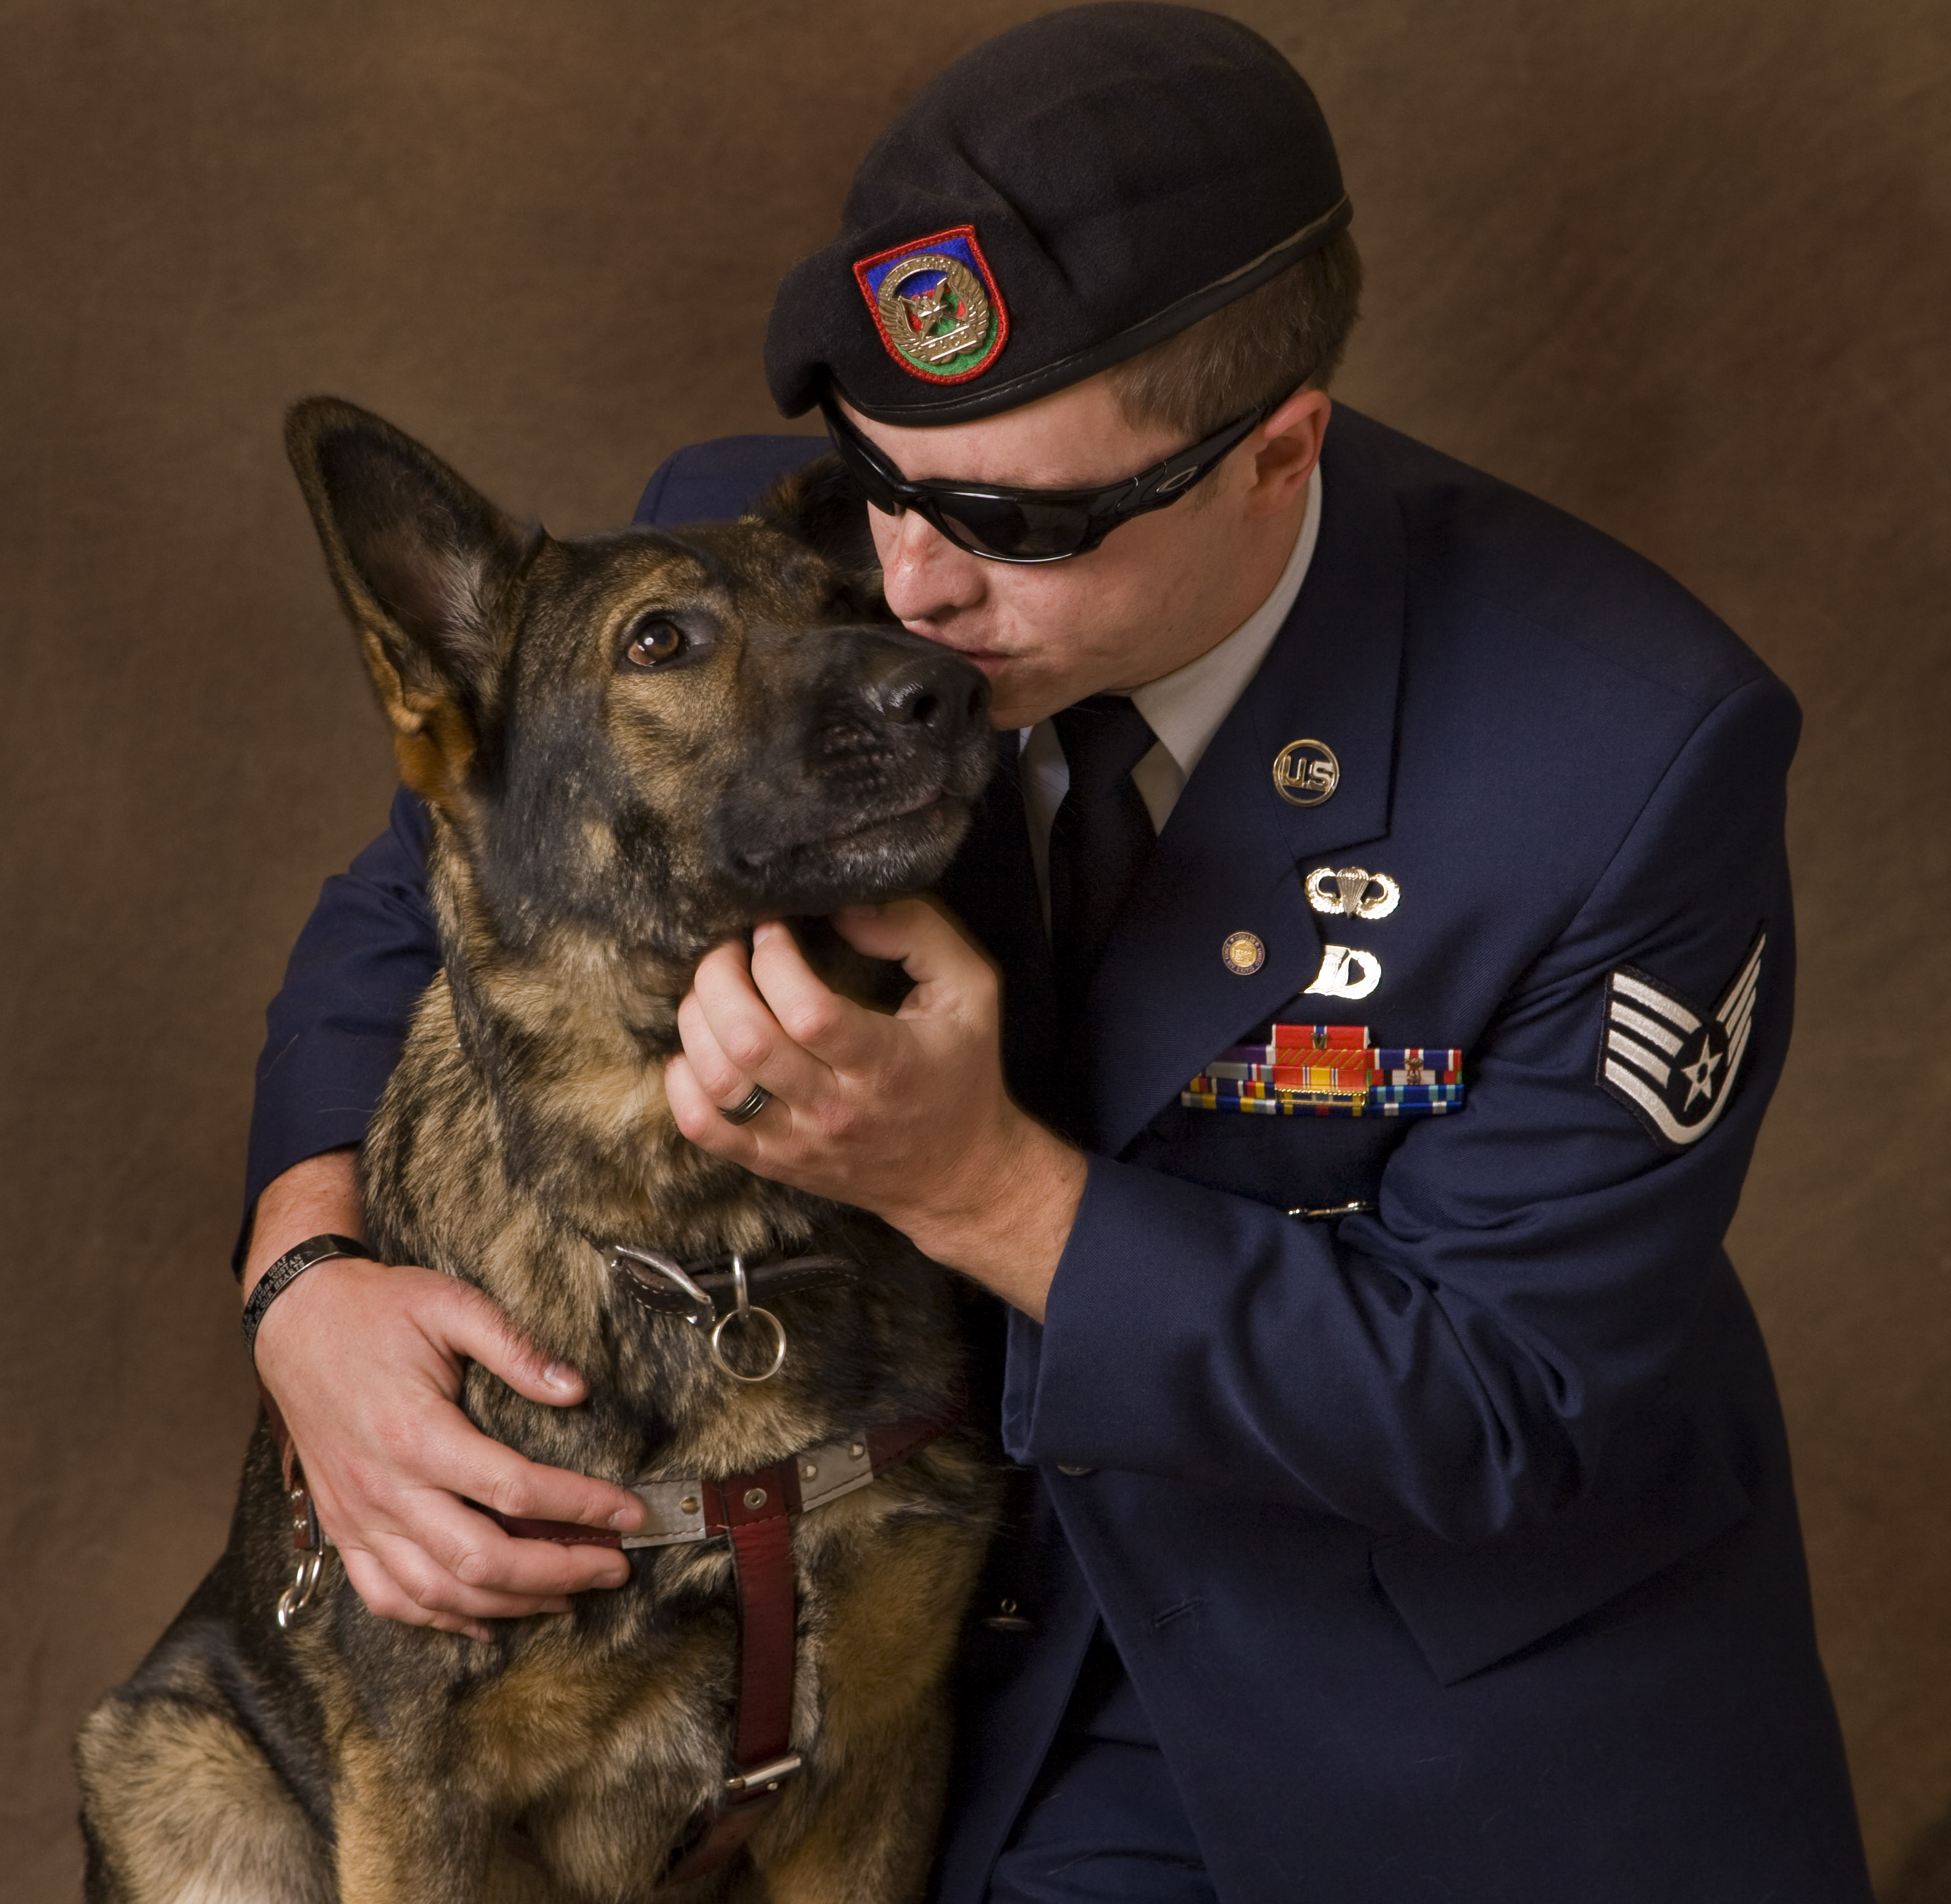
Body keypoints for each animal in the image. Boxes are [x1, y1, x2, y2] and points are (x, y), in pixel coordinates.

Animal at [72, 402, 1006, 1904]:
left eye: (854, 601)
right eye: (659, 641)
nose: (949, 691)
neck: (702, 1248)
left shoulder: (875, 1774)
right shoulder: (419, 1808)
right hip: (173, 1764)